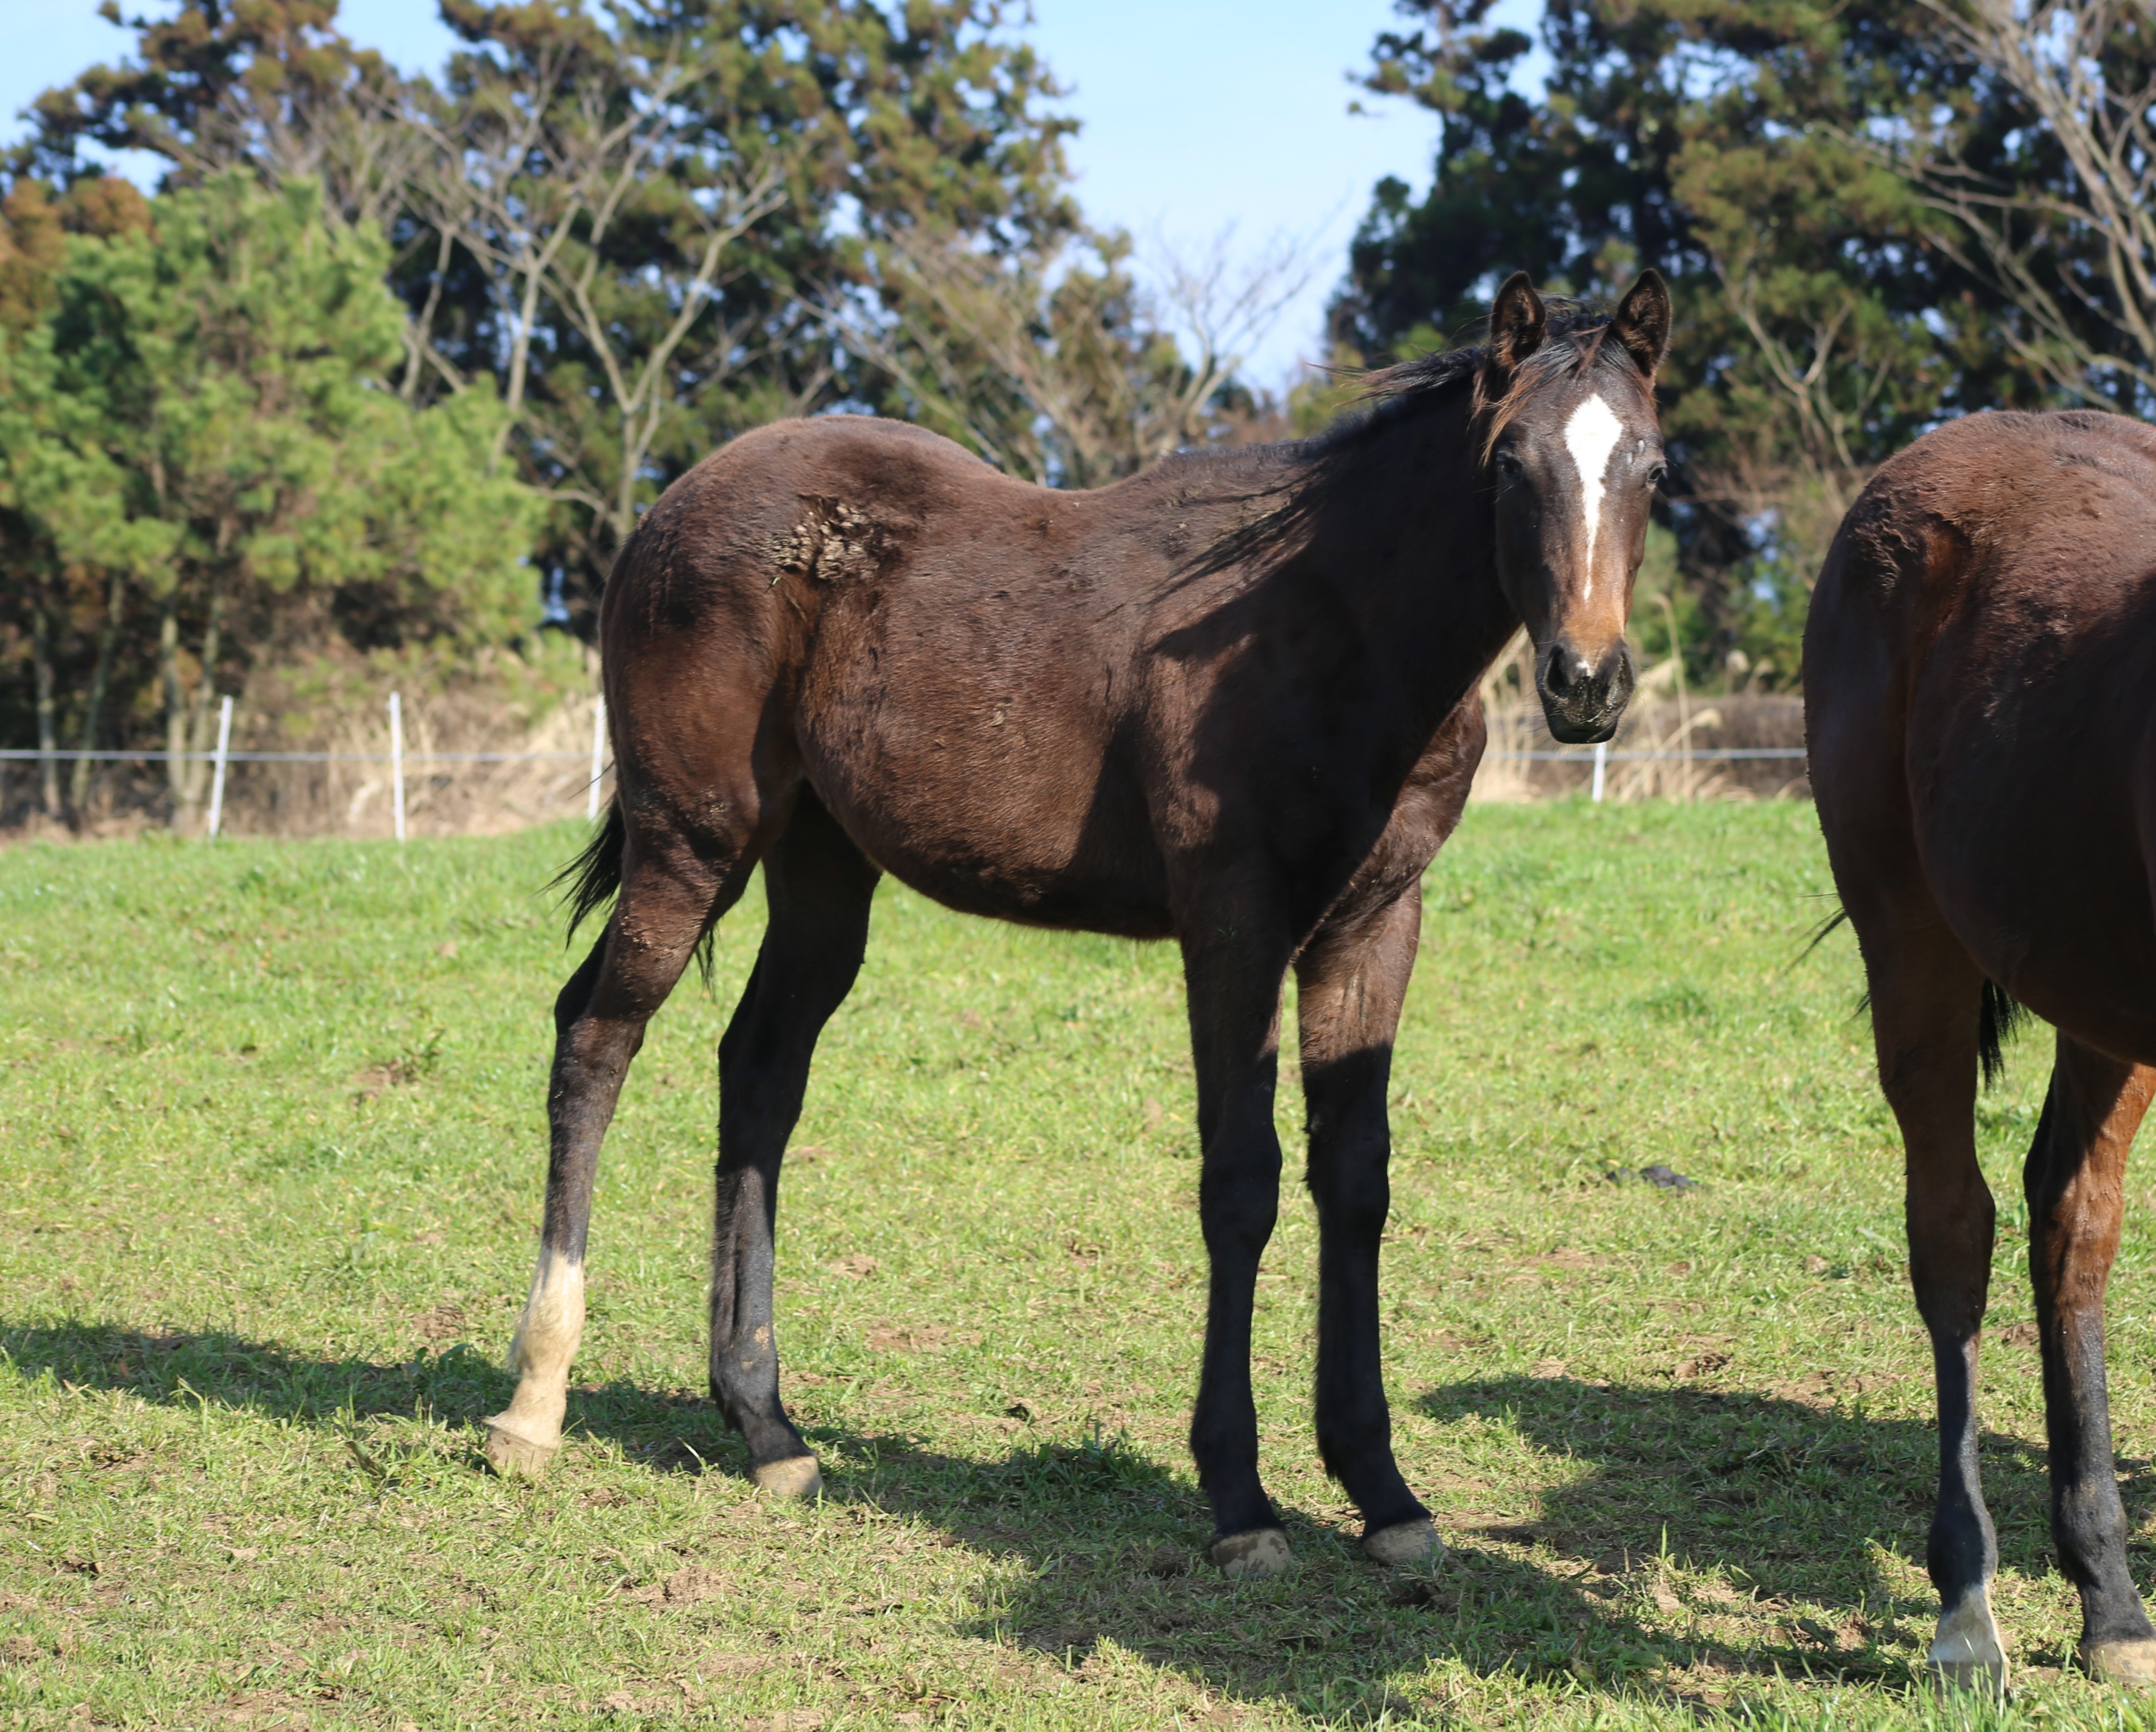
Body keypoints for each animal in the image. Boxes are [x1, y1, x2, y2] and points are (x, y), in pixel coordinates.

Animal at [489, 267, 1664, 1570]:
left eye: (1652, 467)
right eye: (1508, 462)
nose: (1585, 682)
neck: (1334, 624)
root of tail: (665, 510)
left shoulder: (1373, 924)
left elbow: (1353, 1180)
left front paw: (1382, 1489)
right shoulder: (1233, 922)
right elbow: (1241, 1181)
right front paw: (1239, 1499)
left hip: (821, 864)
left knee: (757, 1070)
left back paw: (767, 1428)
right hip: (691, 838)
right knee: (595, 1039)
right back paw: (532, 1404)